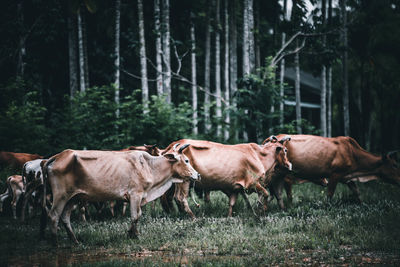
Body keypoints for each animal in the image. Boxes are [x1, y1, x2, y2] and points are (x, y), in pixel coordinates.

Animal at [39, 146, 199, 246]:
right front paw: (134, 235)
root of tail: (55, 157)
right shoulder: (135, 195)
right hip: (61, 196)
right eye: (186, 160)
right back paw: (55, 243)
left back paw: (75, 240)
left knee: (65, 217)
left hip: (74, 198)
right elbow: (135, 216)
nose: (197, 175)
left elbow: (137, 215)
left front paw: (132, 233)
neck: (149, 166)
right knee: (53, 215)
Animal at [161, 139, 292, 219]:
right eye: (285, 150)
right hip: (185, 180)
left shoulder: (235, 187)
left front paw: (229, 217)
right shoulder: (252, 183)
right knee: (180, 198)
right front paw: (262, 210)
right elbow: (265, 194)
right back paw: (193, 217)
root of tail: (174, 144)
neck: (258, 155)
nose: (290, 165)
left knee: (169, 198)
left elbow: (232, 203)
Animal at [272, 134, 400, 203]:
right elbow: (330, 194)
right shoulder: (335, 174)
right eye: (394, 164)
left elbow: (357, 192)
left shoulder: (347, 177)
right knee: (288, 190)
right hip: (287, 174)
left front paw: (362, 204)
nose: (399, 179)